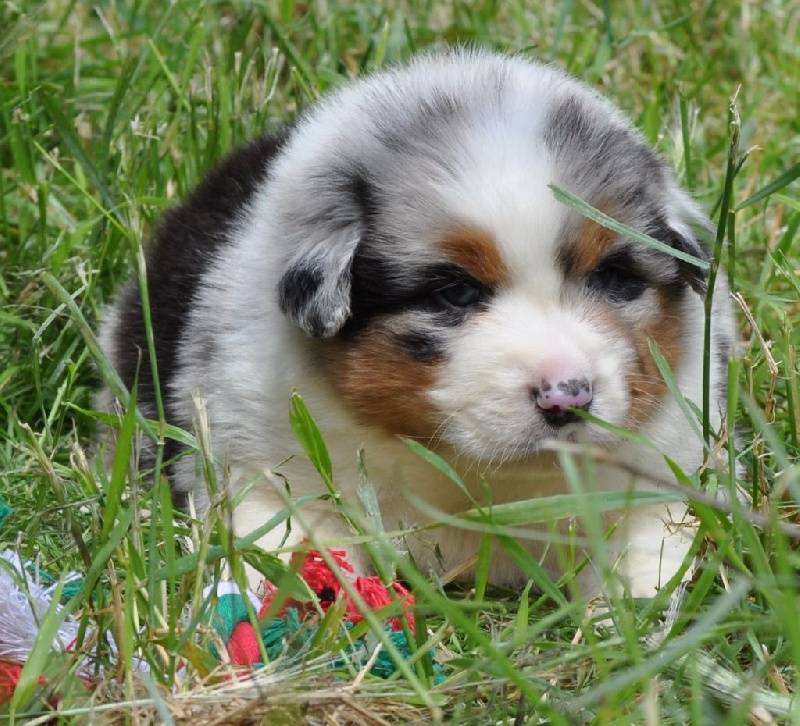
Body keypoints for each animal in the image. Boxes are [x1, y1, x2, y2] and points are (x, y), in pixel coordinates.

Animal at [97, 49, 736, 596]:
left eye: (612, 278)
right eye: (455, 293)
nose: (568, 397)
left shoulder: (662, 477)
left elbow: (644, 562)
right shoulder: (262, 467)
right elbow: (282, 549)